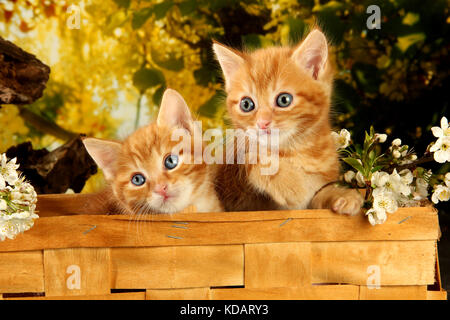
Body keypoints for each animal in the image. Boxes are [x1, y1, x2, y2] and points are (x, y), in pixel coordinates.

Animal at [213, 29, 364, 215]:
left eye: (284, 100)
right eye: (246, 104)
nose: (262, 123)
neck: (294, 150)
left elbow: (319, 193)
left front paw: (342, 196)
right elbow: (251, 157)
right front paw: (292, 187)